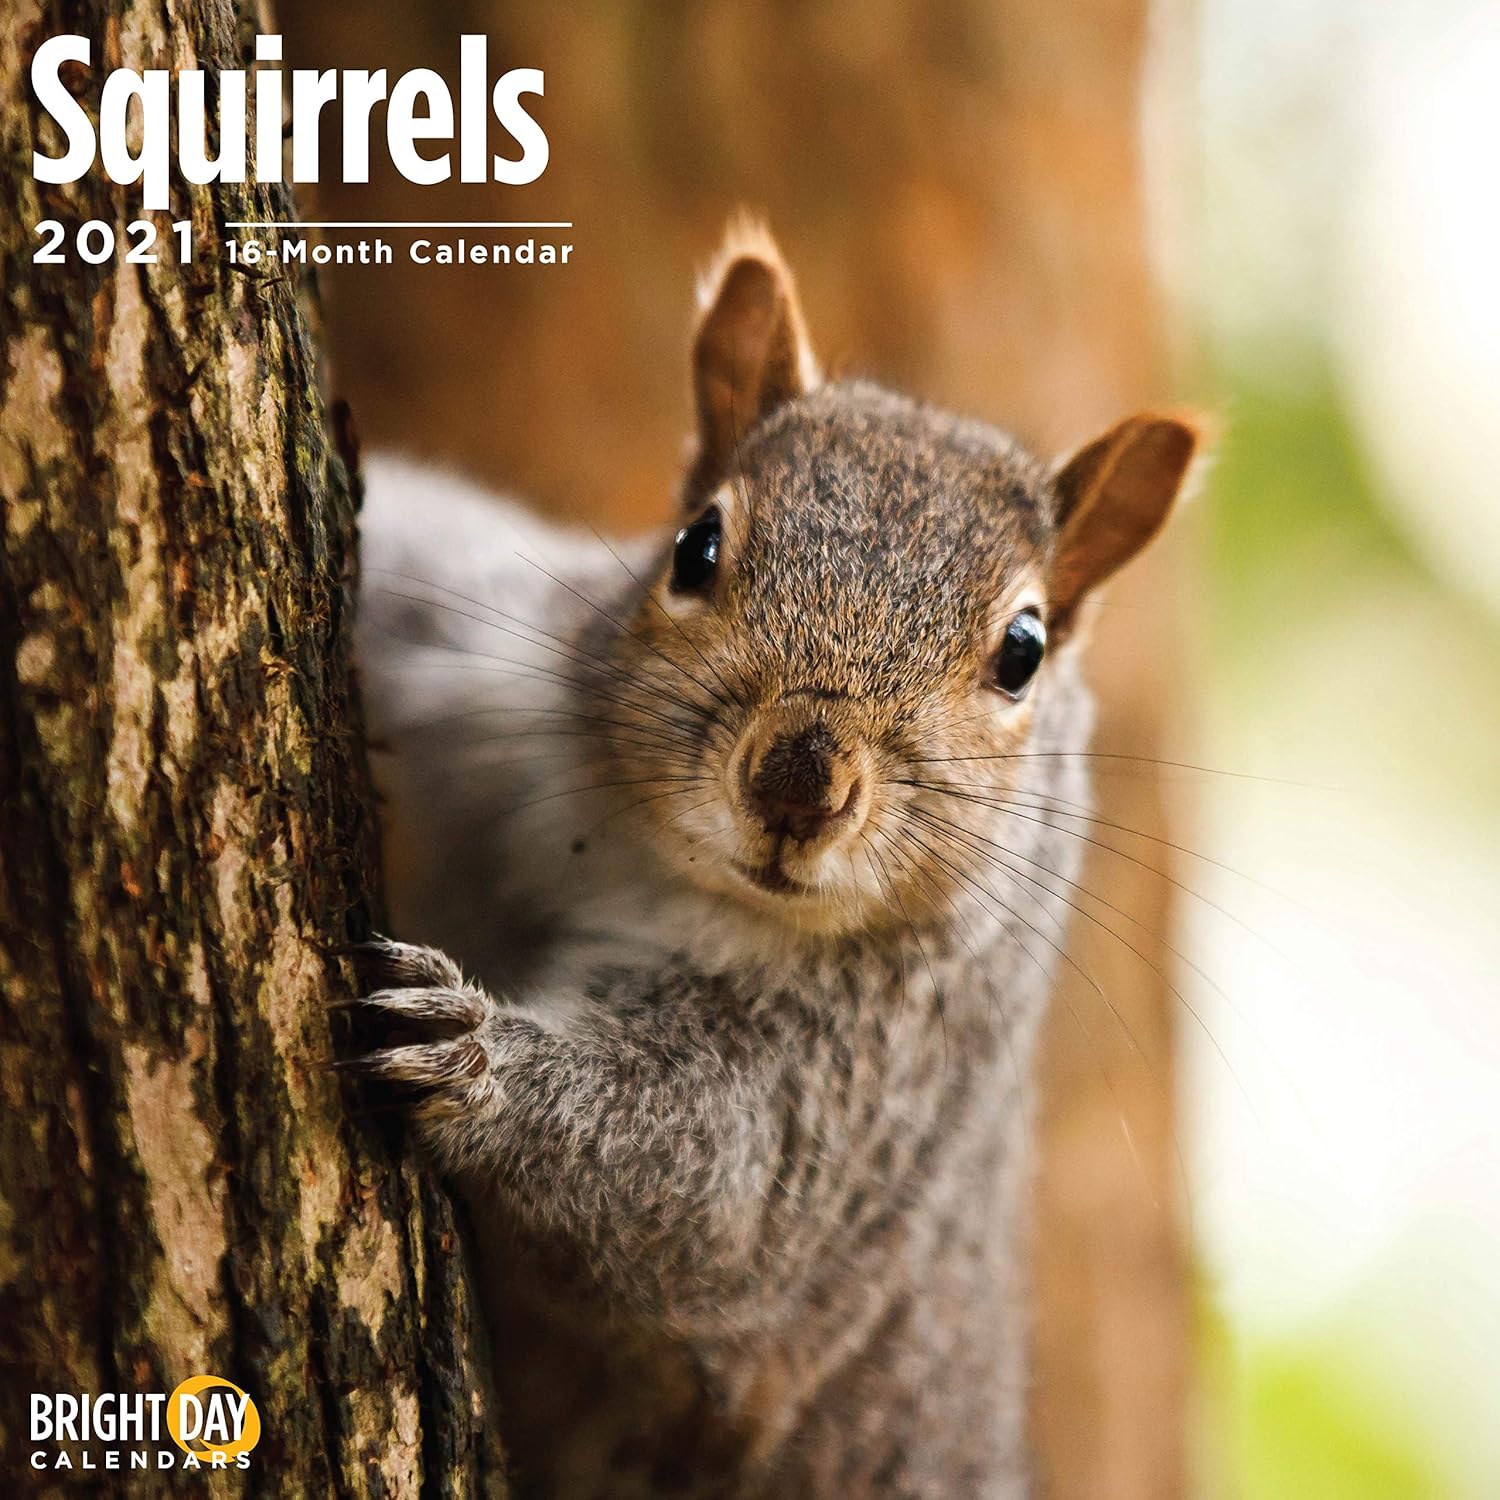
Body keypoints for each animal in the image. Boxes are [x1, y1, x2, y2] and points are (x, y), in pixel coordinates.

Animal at [349, 221, 1197, 1499]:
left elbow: (713, 1181)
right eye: (696, 546)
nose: (799, 782)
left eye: (1024, 651)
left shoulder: (864, 1080)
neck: (655, 864)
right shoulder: (483, 663)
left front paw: (469, 1056)